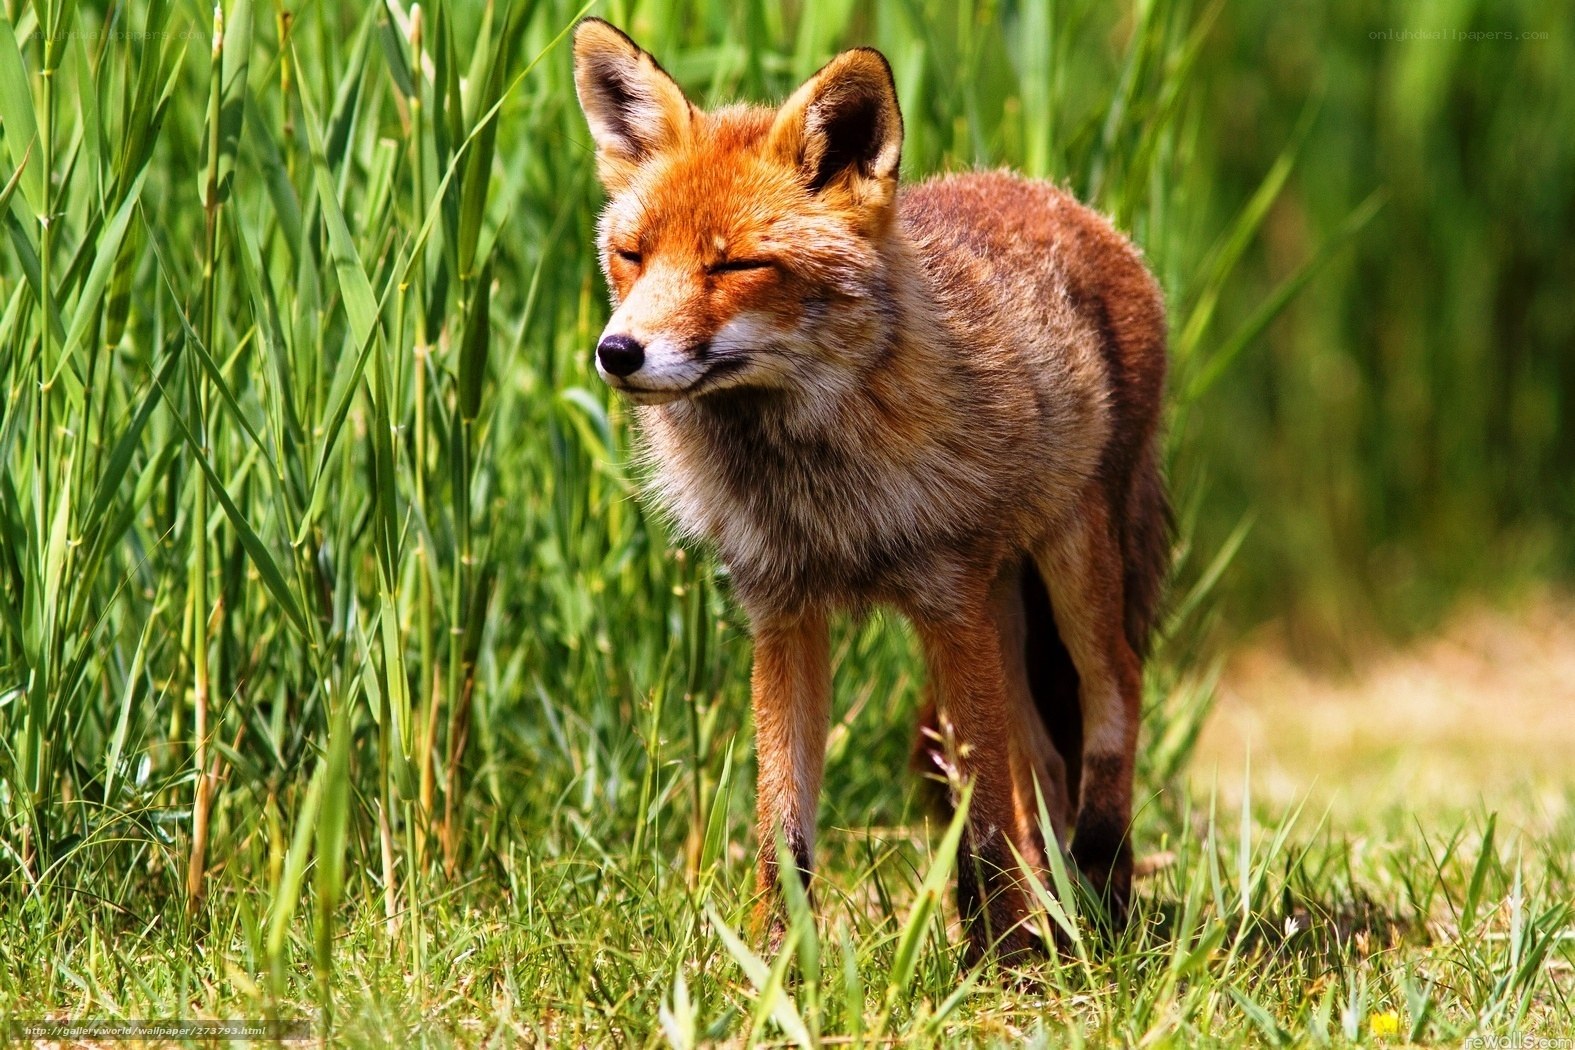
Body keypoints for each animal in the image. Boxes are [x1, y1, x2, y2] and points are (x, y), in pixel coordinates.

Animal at [572, 18, 1170, 963]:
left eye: (734, 265)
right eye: (631, 255)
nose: (617, 352)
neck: (819, 493)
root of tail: (1056, 196)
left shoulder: (947, 605)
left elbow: (983, 821)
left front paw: (1003, 969)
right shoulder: (783, 615)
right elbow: (783, 825)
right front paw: (774, 964)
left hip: (1072, 565)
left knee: (1114, 701)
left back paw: (1098, 898)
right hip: (1004, 603)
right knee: (1040, 761)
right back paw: (1057, 912)